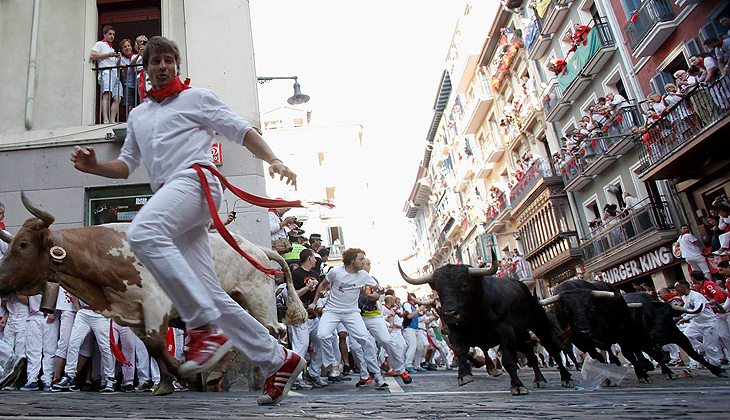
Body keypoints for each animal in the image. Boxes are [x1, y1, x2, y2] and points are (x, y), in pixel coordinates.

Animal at [0, 192, 304, 396]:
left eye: (23, 244)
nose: (2, 283)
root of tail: (257, 248)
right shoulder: (133, 314)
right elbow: (151, 347)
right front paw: (168, 383)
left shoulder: (156, 303)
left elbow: (158, 346)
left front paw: (185, 376)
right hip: (237, 299)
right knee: (251, 333)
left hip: (258, 297)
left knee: (271, 330)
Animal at [400, 260, 572, 396]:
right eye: (439, 289)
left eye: (463, 286)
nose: (449, 314)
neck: (475, 314)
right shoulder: (457, 333)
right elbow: (462, 352)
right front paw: (465, 375)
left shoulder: (505, 331)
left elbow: (508, 359)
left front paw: (517, 385)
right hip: (521, 334)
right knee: (531, 353)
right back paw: (539, 379)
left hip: (537, 324)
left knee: (552, 350)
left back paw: (565, 377)